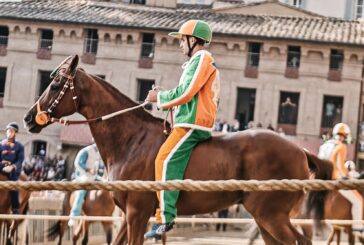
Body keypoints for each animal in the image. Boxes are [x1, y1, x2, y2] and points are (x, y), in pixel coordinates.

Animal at [24, 55, 332, 245]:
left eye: (55, 84)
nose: (29, 118)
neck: (131, 140)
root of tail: (301, 151)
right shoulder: (127, 216)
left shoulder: (137, 213)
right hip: (265, 217)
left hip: (271, 215)